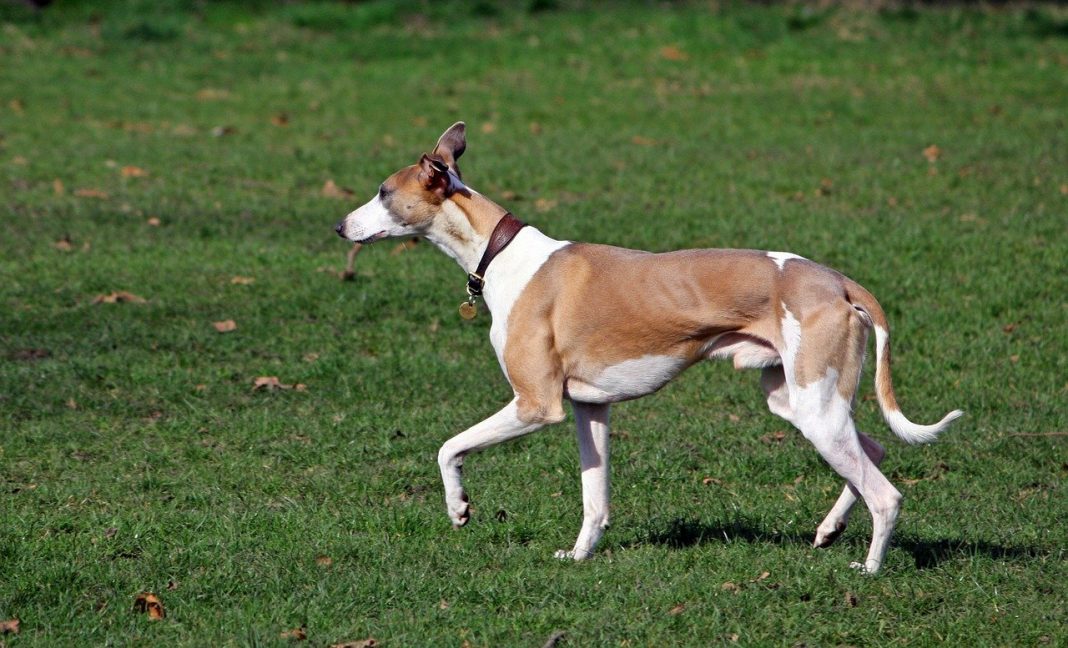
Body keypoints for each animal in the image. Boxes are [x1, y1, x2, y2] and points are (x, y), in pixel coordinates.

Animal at [337, 121, 965, 572]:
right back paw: (830, 529)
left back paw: (869, 568)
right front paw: (579, 555)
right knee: (873, 452)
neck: (501, 252)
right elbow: (594, 498)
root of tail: (837, 281)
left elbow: (449, 447)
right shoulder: (589, 407)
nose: (339, 227)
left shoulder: (536, 404)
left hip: (816, 408)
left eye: (382, 192)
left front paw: (459, 508)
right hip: (797, 401)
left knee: (885, 494)